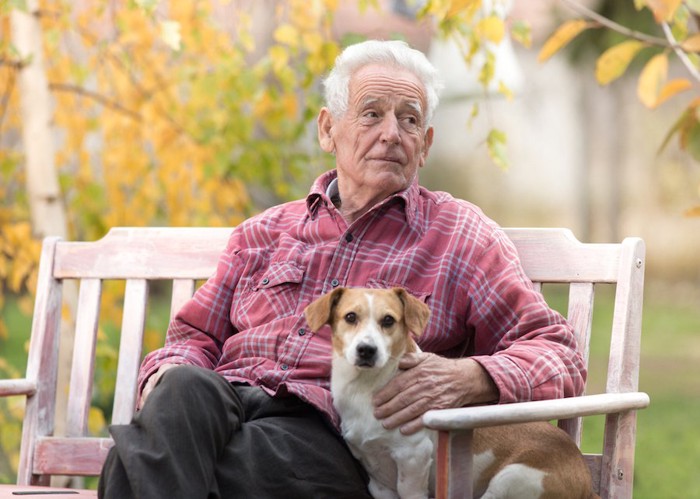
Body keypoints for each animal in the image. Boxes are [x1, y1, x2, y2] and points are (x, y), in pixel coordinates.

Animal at [304, 290, 600, 499]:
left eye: (388, 320)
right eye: (350, 317)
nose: (367, 350)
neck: (364, 389)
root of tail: (588, 483)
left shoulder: (413, 457)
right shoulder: (379, 482)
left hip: (511, 481)